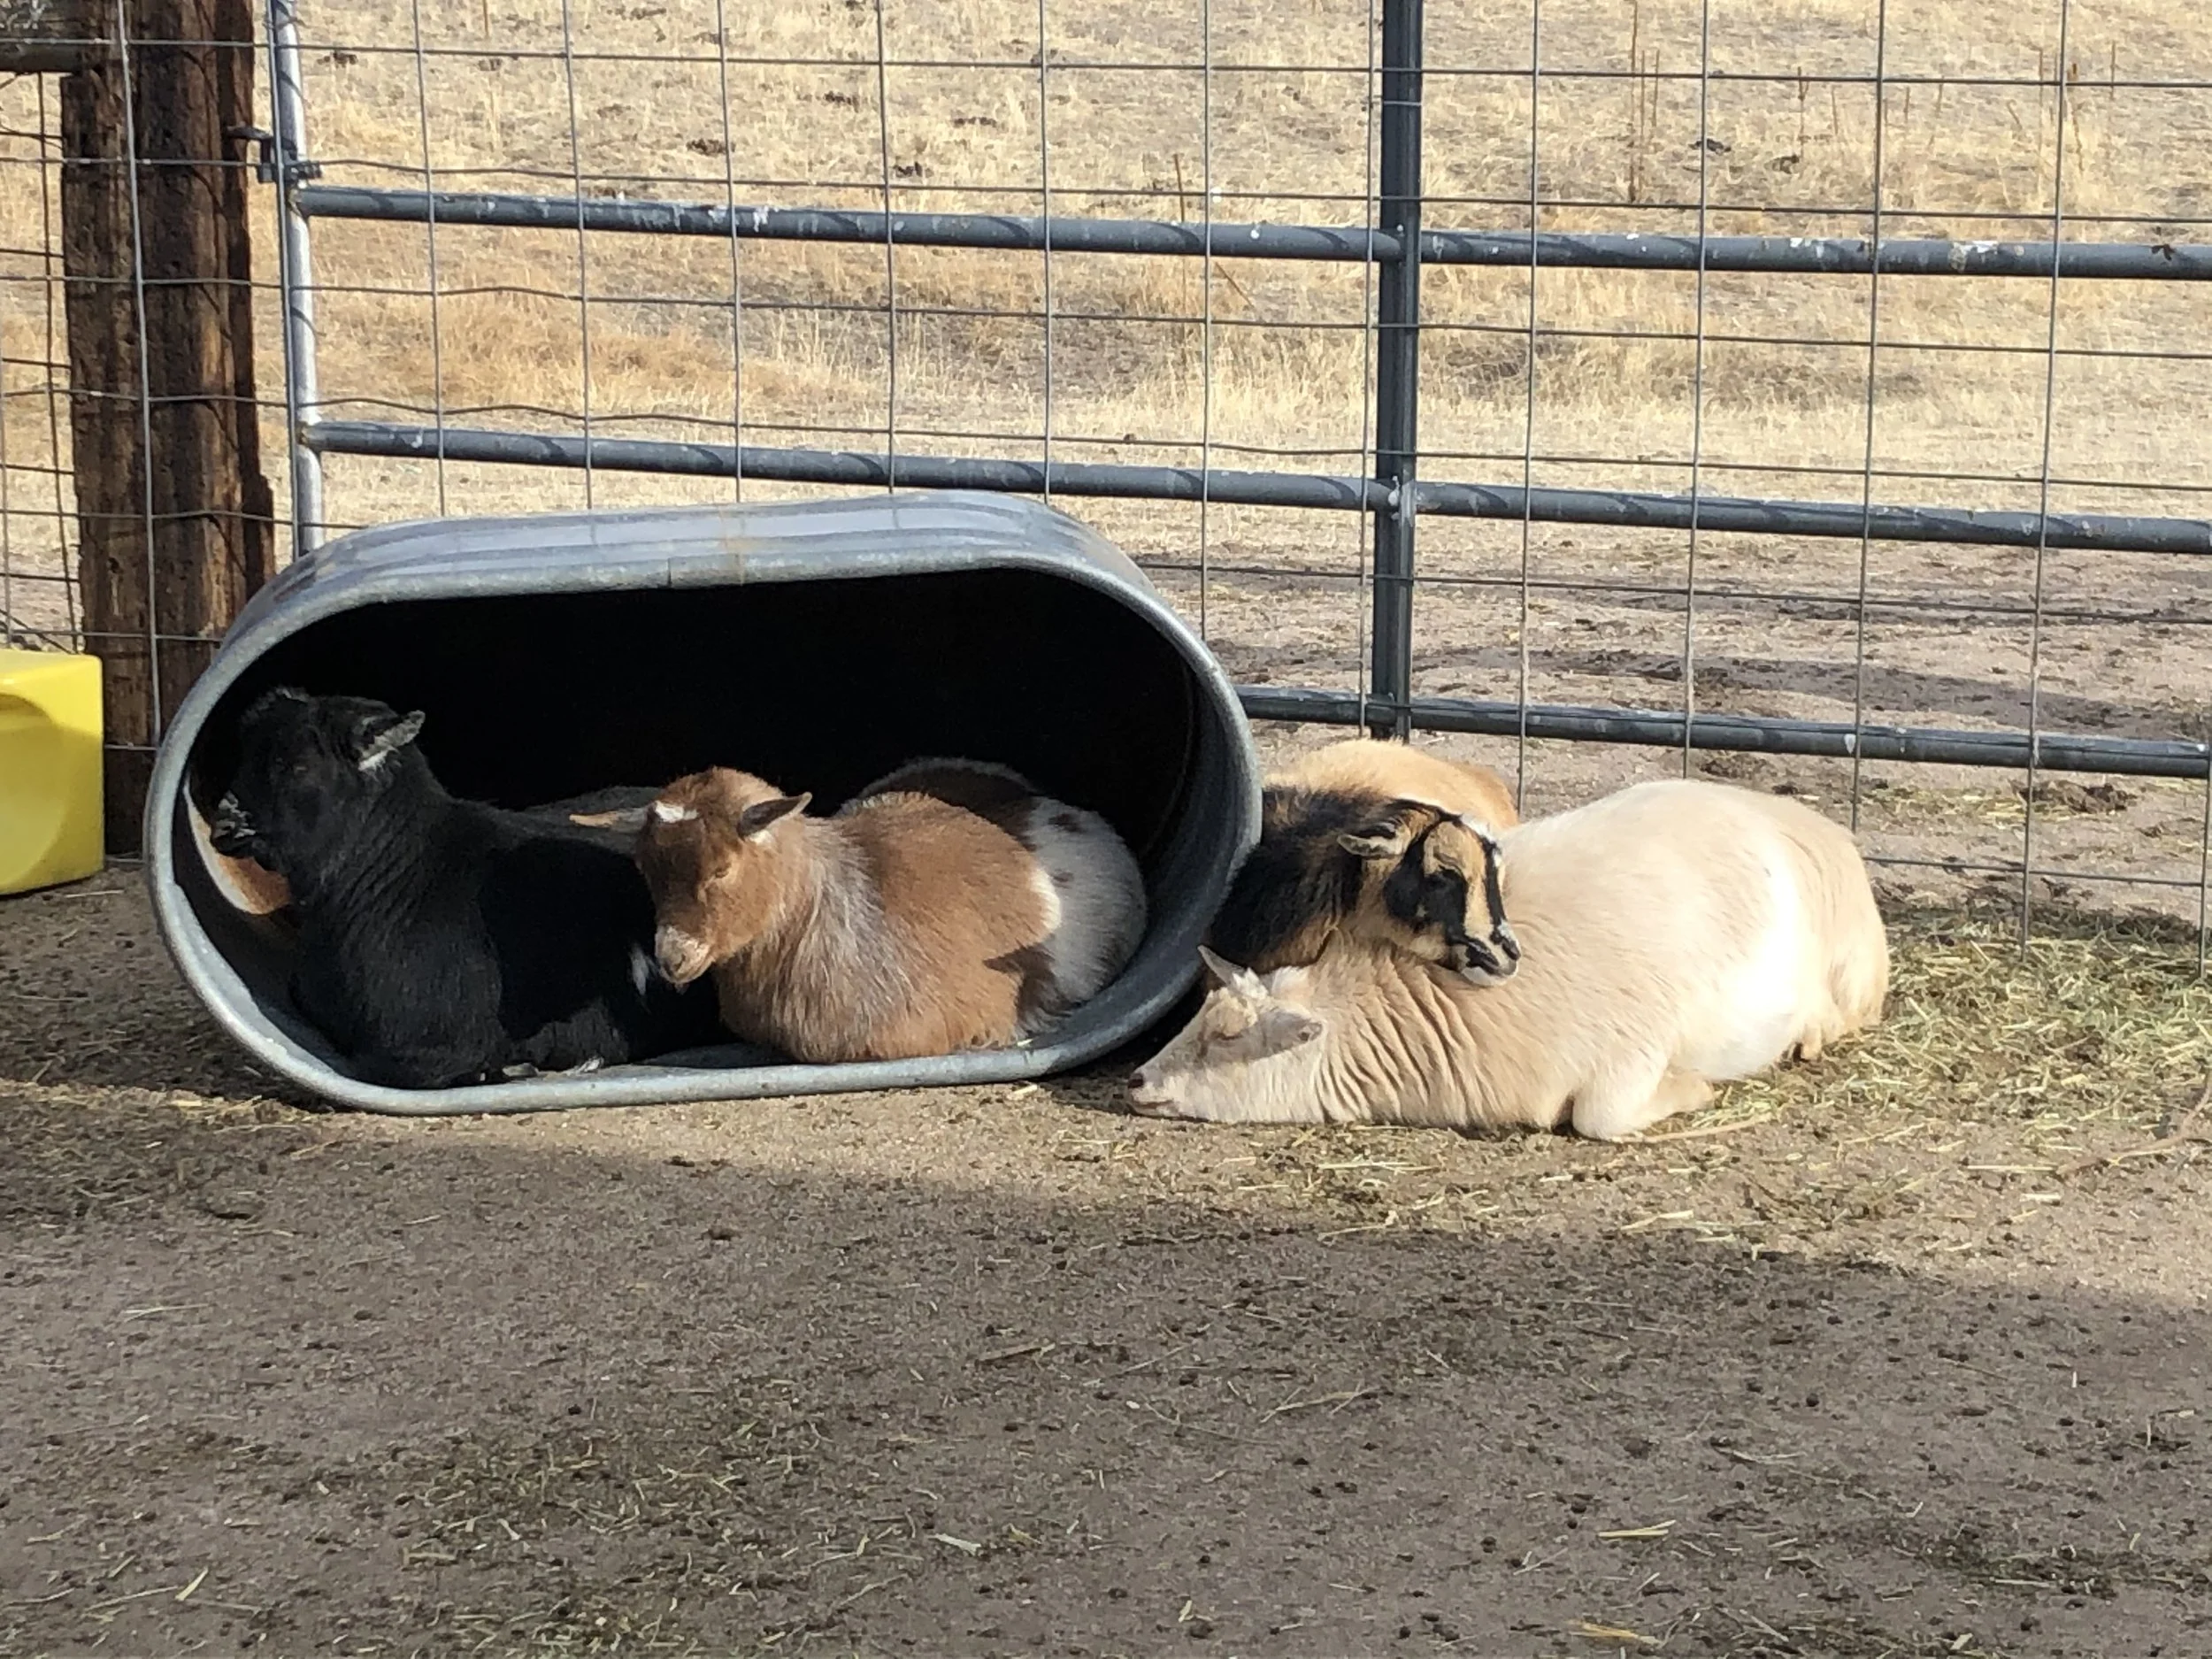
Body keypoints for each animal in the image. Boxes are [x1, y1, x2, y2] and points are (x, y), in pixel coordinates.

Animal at [1131, 778, 1889, 1139]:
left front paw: (1697, 1088)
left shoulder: (1629, 1056)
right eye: (1201, 1017)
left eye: (1228, 1036)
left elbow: (1602, 1116)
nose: (1136, 1081)